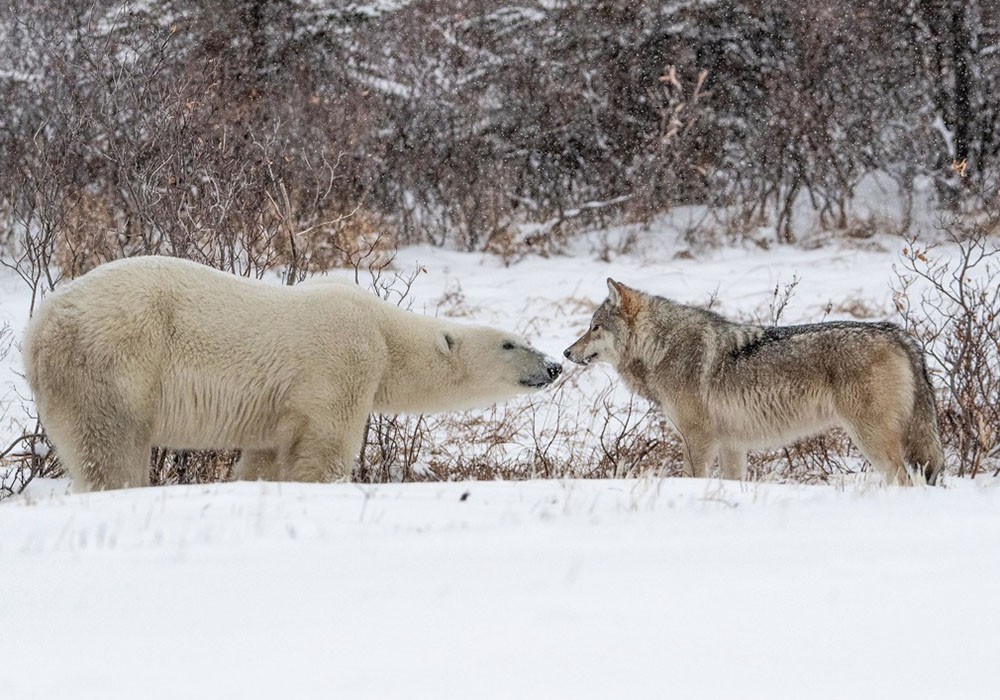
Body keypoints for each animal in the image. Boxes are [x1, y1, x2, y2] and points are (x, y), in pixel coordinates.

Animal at [23, 256, 562, 491]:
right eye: (511, 343)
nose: (554, 365)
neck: (384, 330)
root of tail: (41, 324)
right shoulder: (342, 362)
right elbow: (323, 446)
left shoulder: (273, 410)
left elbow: (264, 456)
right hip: (112, 360)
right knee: (111, 446)